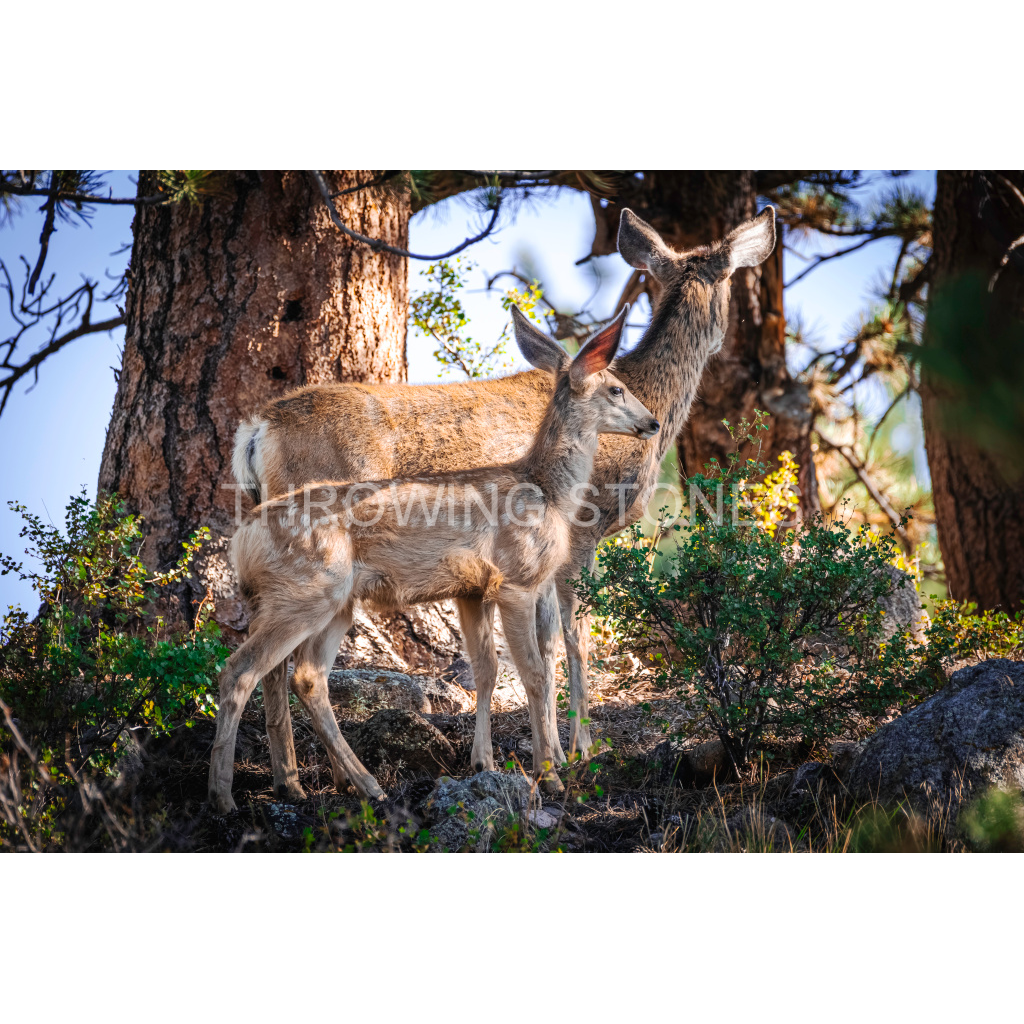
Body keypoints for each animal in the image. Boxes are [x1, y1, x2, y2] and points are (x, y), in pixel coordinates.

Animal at [208, 309, 660, 814]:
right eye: (616, 388)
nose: (653, 422)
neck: (546, 491)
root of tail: (243, 539)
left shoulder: (472, 590)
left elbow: (488, 668)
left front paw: (485, 763)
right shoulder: (517, 580)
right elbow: (535, 673)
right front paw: (550, 777)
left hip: (333, 602)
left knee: (305, 677)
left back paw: (359, 785)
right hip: (308, 590)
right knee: (240, 671)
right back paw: (226, 797)